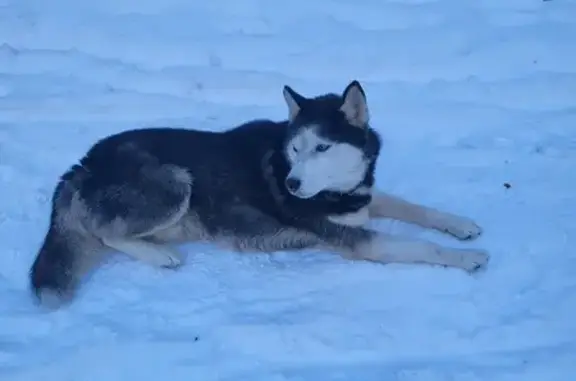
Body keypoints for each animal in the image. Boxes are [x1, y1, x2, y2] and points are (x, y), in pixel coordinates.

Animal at [30, 80, 490, 306]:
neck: (336, 190)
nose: (292, 185)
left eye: (322, 148)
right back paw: (159, 256)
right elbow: (424, 247)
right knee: (105, 232)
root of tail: (83, 162)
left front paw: (460, 224)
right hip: (174, 181)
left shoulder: (361, 198)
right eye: (296, 148)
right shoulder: (355, 239)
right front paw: (467, 258)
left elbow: (413, 207)